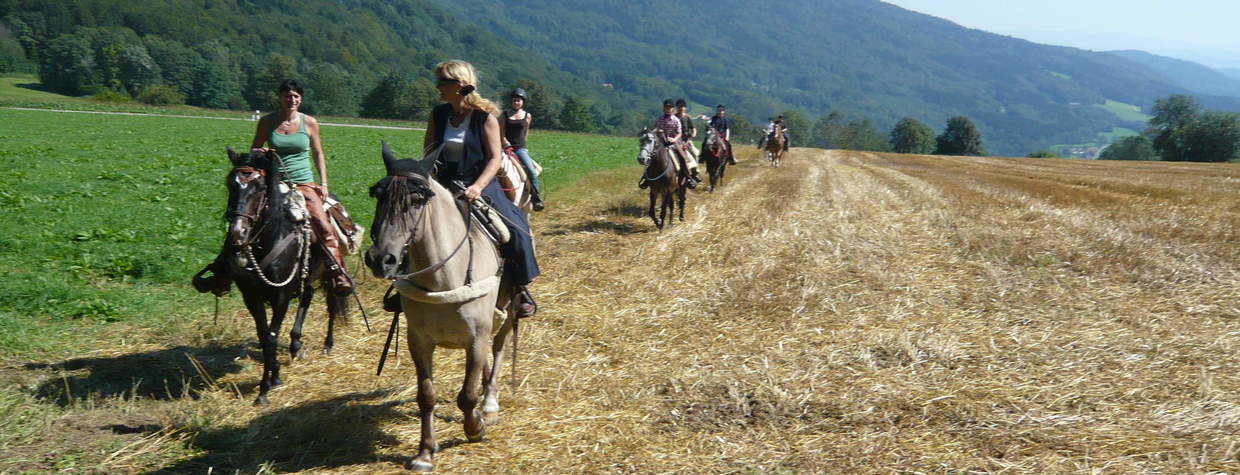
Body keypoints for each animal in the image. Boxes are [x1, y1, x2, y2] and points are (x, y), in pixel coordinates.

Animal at [220, 148, 349, 406]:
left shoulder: (280, 295)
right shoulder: (251, 296)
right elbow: (263, 336)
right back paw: (296, 344)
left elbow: (271, 337)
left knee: (331, 305)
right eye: (230, 184)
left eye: (260, 188)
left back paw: (328, 345)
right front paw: (275, 374)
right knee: (307, 297)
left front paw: (265, 389)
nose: (238, 233)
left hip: (328, 275)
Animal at [362, 141, 515, 471]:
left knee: (498, 349)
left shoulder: (475, 338)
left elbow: (467, 395)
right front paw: (425, 452)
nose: (381, 259)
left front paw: (475, 426)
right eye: (377, 195)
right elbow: (426, 396)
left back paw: (490, 403)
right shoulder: (419, 341)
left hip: (507, 311)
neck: (445, 277)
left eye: (418, 200)